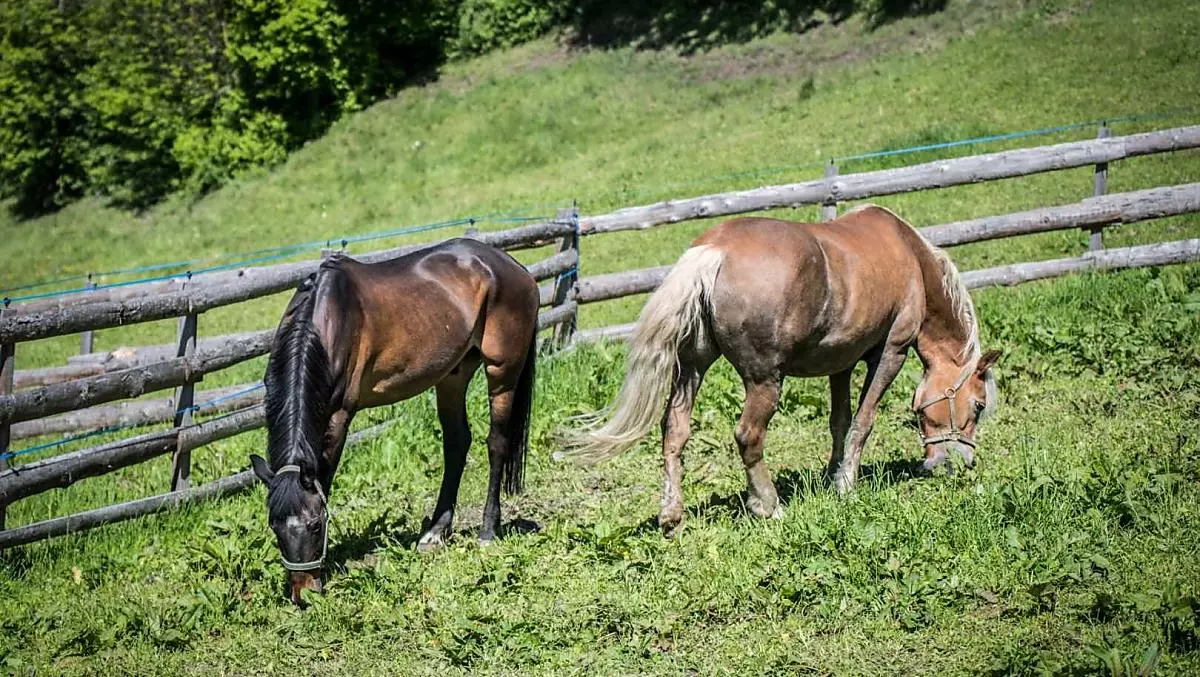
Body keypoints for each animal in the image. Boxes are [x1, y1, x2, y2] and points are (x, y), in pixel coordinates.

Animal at [249, 238, 539, 604]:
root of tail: (513, 266)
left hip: (503, 371)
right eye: (275, 528)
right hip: (453, 375)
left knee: (496, 443)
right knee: (457, 444)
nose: (304, 595)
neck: (326, 321)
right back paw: (434, 534)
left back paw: (487, 531)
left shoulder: (339, 417)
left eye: (315, 524)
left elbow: (325, 479)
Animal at [561, 205, 999, 537]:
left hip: (692, 368)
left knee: (674, 431)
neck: (910, 258)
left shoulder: (840, 363)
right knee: (748, 436)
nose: (962, 461)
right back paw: (767, 506)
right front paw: (847, 485)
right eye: (978, 405)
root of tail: (714, 251)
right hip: (764, 381)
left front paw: (831, 475)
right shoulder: (890, 352)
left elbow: (839, 422)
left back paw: (672, 517)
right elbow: (864, 421)